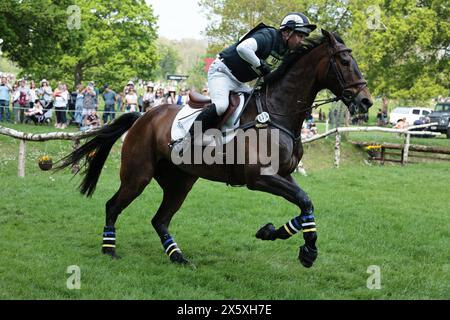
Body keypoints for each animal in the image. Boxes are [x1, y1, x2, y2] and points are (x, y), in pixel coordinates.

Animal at [57, 30, 372, 268]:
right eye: (345, 60)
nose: (366, 101)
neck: (277, 113)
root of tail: (143, 116)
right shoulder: (260, 178)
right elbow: (305, 200)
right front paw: (307, 250)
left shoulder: (284, 175)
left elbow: (306, 204)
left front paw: (274, 234)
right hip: (138, 176)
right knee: (113, 206)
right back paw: (109, 248)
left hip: (181, 181)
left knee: (160, 220)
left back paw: (178, 256)